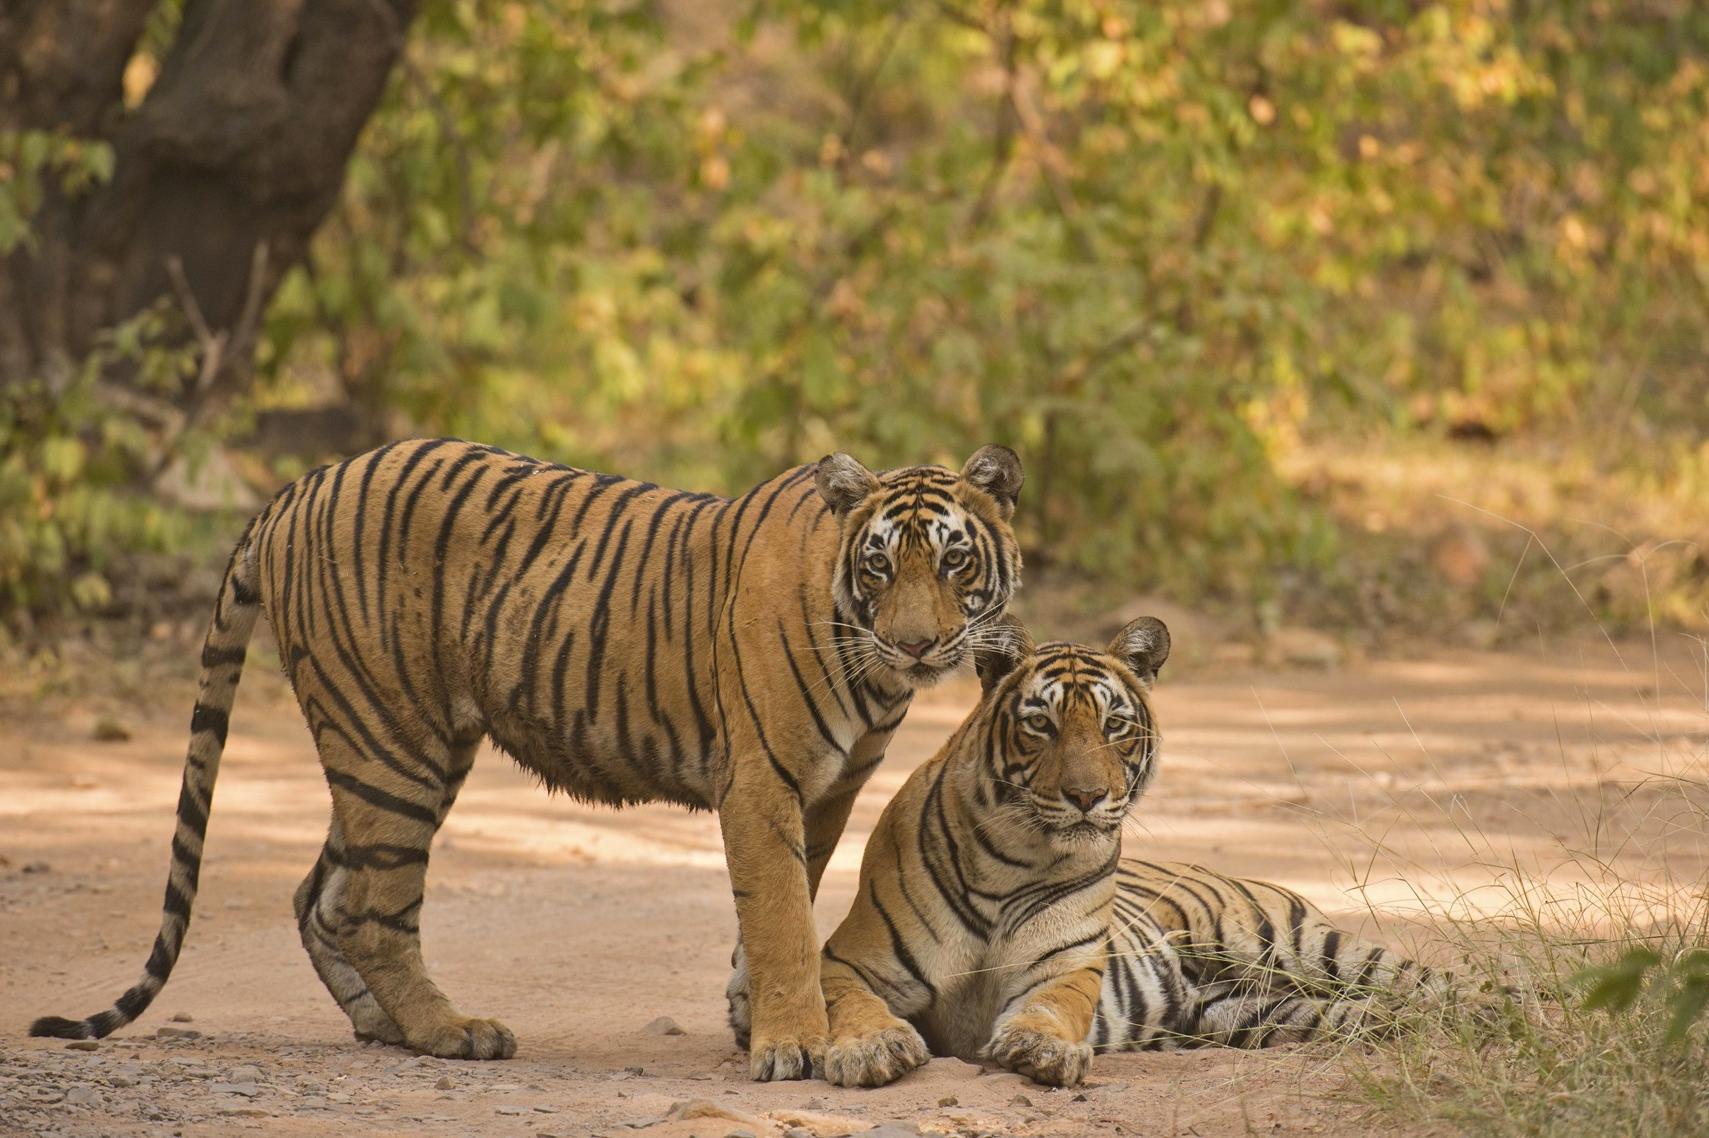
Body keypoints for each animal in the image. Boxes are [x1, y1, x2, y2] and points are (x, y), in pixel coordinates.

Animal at [30, 435, 1011, 1079]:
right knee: (370, 911)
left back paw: (382, 1026)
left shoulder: (827, 790)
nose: (919, 646)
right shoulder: (763, 782)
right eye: (879, 568)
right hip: (394, 741)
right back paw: (448, 1032)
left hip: (391, 751)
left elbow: (789, 907)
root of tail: (299, 485)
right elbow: (779, 917)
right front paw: (790, 1045)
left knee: (322, 895)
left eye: (953, 563)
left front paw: (754, 1021)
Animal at [820, 615, 1449, 1086]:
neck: (1010, 857)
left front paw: (1041, 1048)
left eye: (1114, 724)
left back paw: (1473, 1011)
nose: (1086, 796)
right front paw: (873, 1049)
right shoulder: (851, 960)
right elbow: (848, 1001)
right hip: (1258, 1012)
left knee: (1426, 980)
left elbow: (1051, 1005)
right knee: (1372, 1013)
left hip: (1296, 942)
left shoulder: (1067, 965)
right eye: (1041, 724)